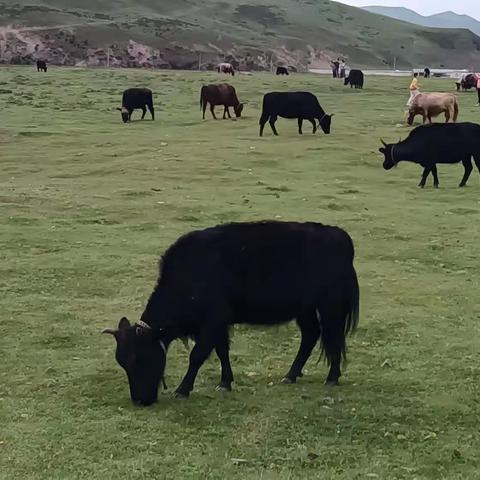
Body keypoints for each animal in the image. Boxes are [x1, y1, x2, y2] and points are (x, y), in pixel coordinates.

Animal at [105, 221, 360, 404]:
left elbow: (198, 355)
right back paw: (290, 375)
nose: (139, 401)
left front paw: (182, 390)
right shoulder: (219, 324)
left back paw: (332, 378)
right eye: (122, 362)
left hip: (331, 307)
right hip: (305, 310)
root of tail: (340, 236)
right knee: (311, 335)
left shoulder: (212, 321)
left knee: (333, 337)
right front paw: (225, 383)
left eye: (138, 357)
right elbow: (222, 351)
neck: (189, 276)